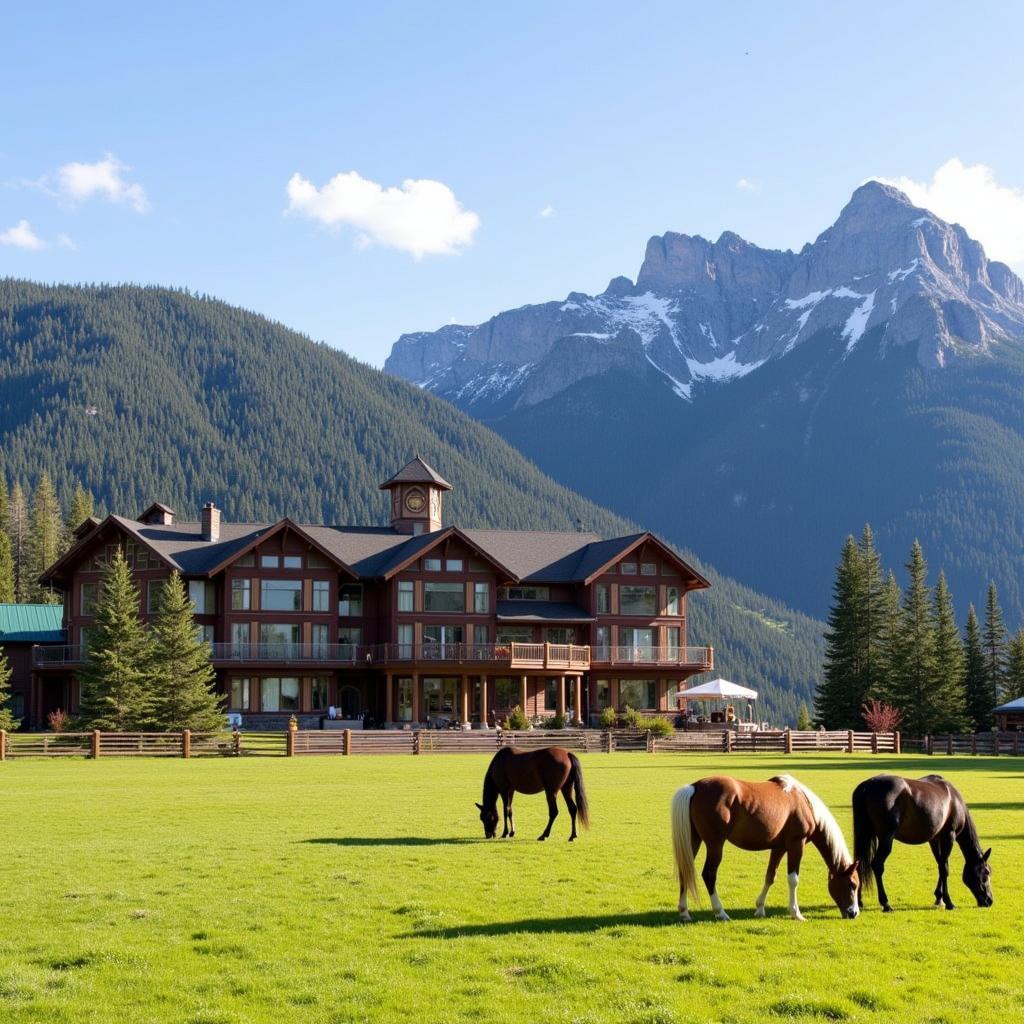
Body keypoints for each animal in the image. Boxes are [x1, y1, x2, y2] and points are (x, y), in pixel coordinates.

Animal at [667, 770, 860, 925]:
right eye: (852, 885)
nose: (854, 913)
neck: (804, 804)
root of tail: (694, 787)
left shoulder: (779, 848)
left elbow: (770, 876)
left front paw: (760, 909)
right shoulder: (796, 845)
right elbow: (793, 879)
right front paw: (796, 913)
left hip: (693, 841)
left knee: (685, 871)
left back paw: (684, 912)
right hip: (715, 844)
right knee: (709, 874)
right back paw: (720, 912)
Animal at [856, 770, 991, 909]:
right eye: (986, 873)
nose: (989, 900)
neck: (954, 801)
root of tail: (869, 784)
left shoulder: (935, 840)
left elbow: (940, 865)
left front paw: (939, 898)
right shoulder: (949, 837)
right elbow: (945, 869)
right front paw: (948, 902)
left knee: (858, 863)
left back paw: (859, 902)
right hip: (886, 839)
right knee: (877, 865)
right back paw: (886, 903)